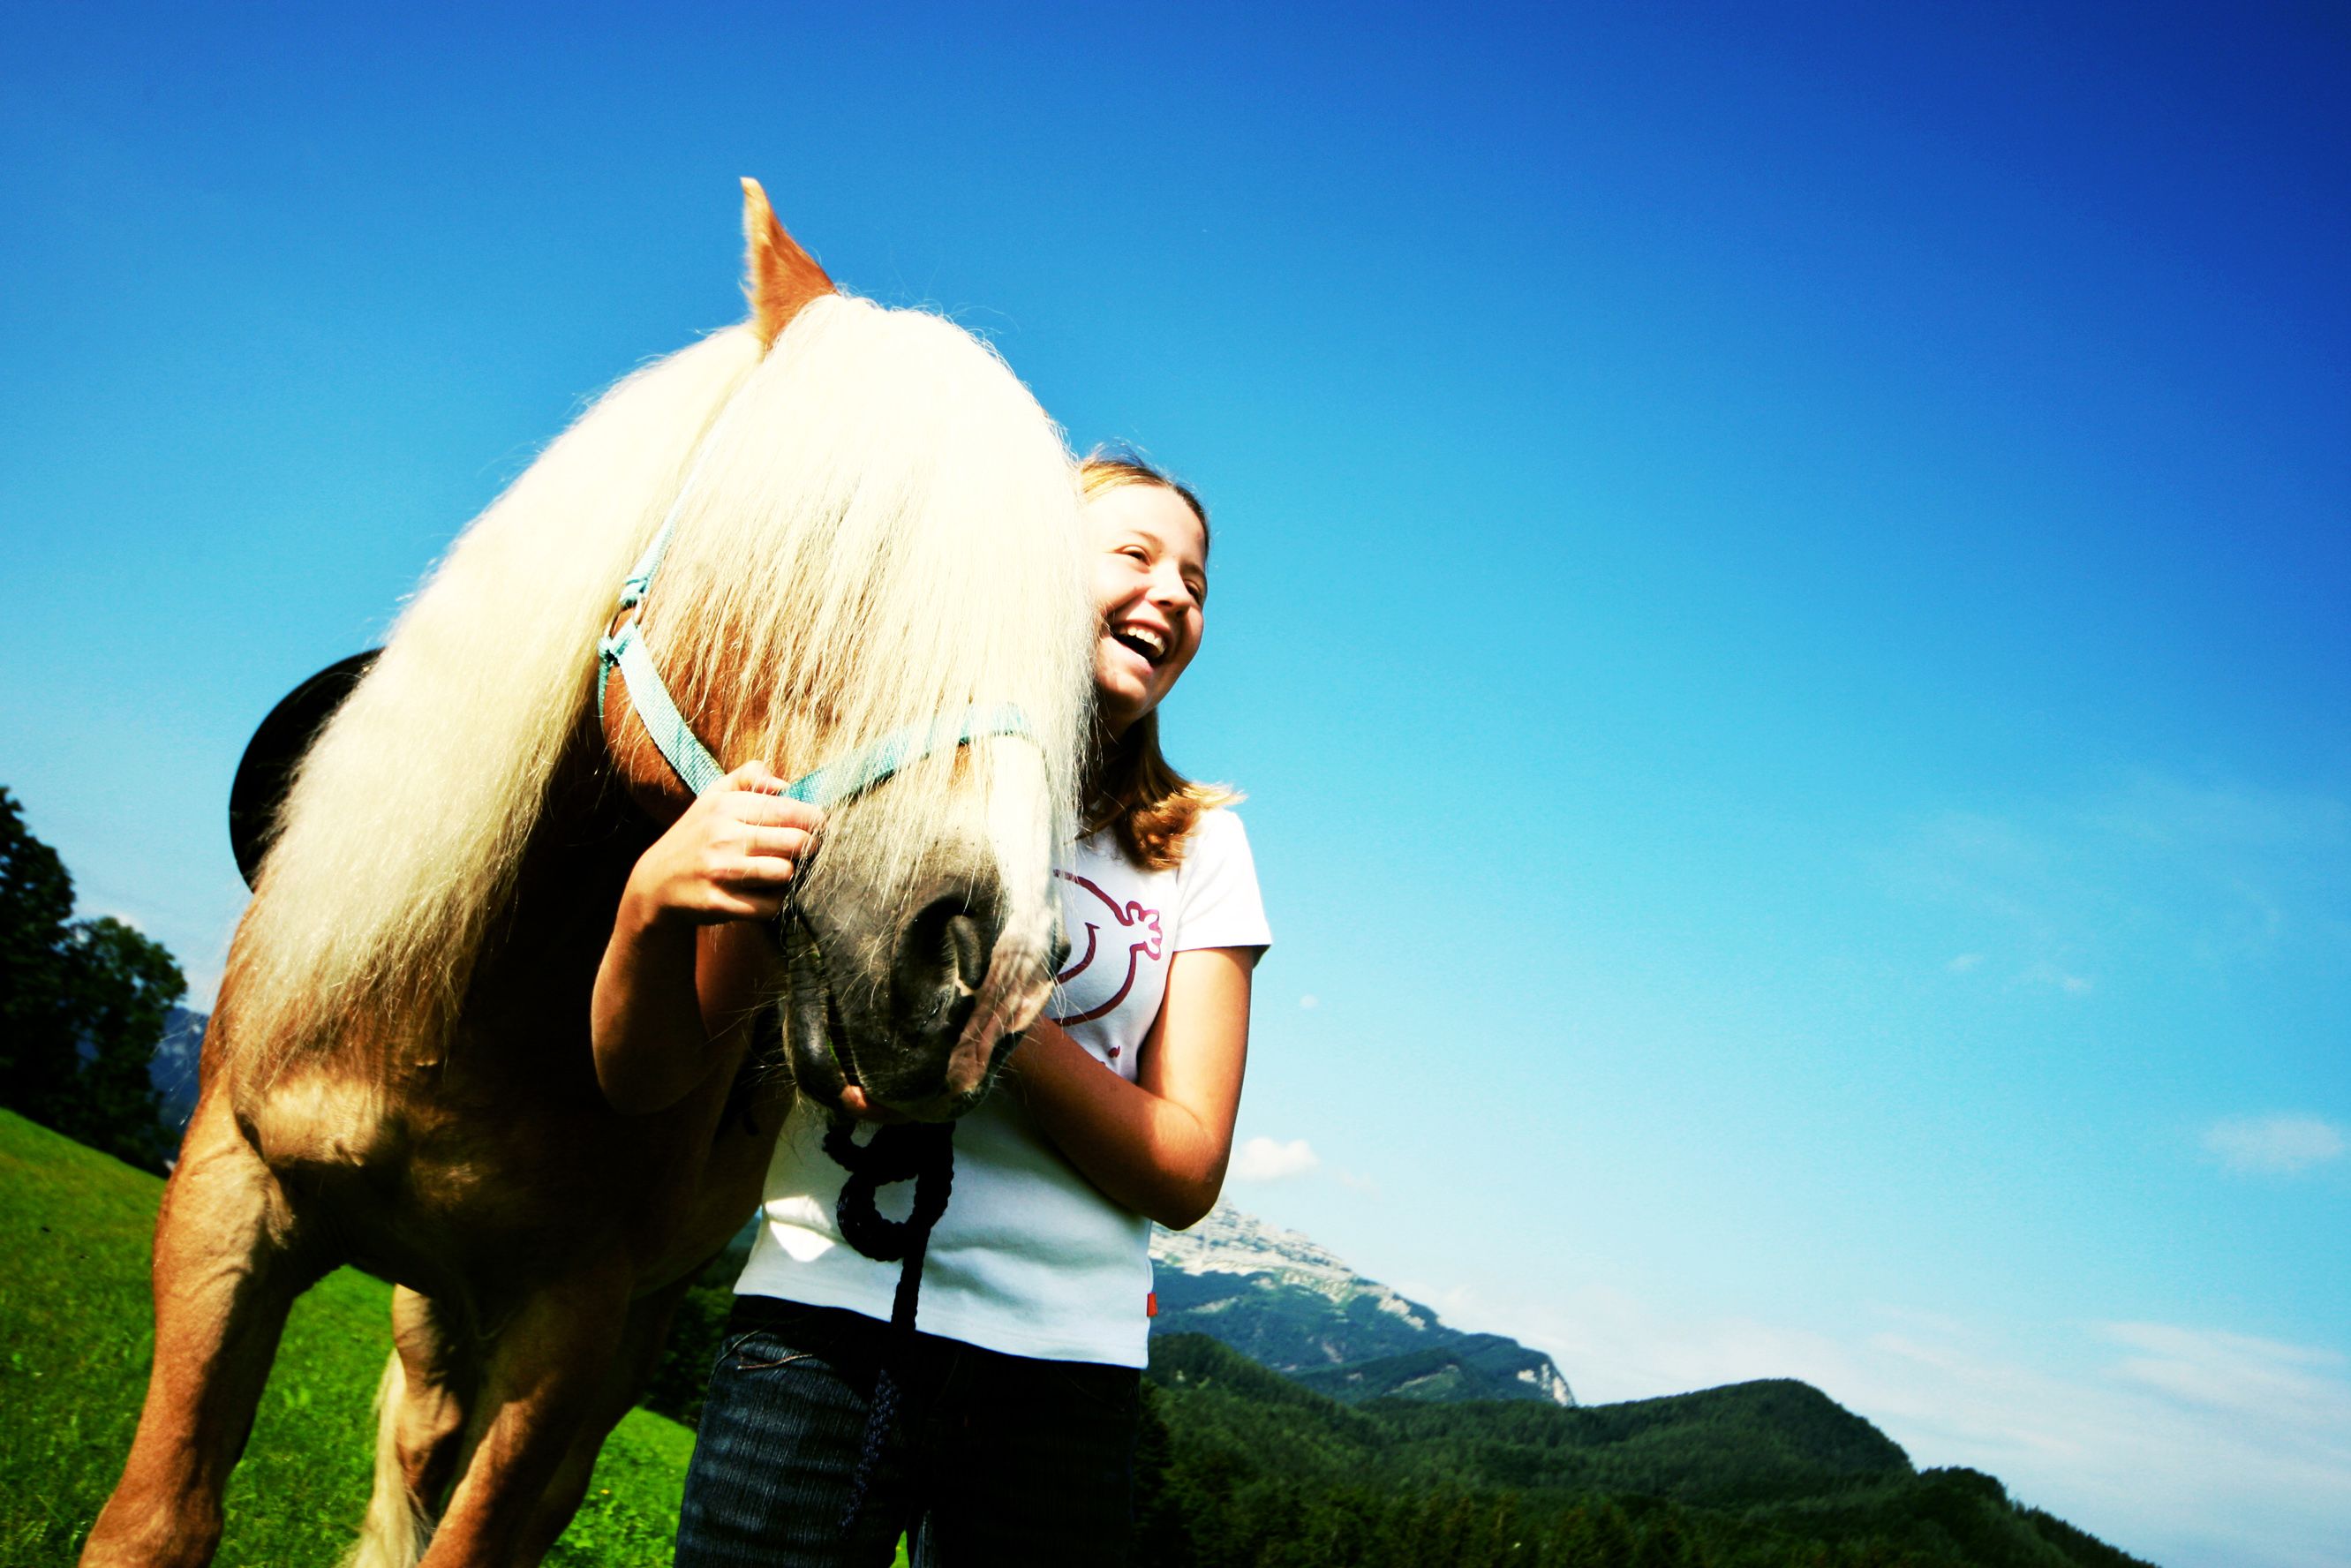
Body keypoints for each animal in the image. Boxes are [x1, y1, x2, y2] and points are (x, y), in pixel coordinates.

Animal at [82, 180, 1096, 1568]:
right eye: (832, 548)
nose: (982, 974)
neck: (461, 1006)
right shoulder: (226, 1200)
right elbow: (156, 1519)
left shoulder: (573, 1332)